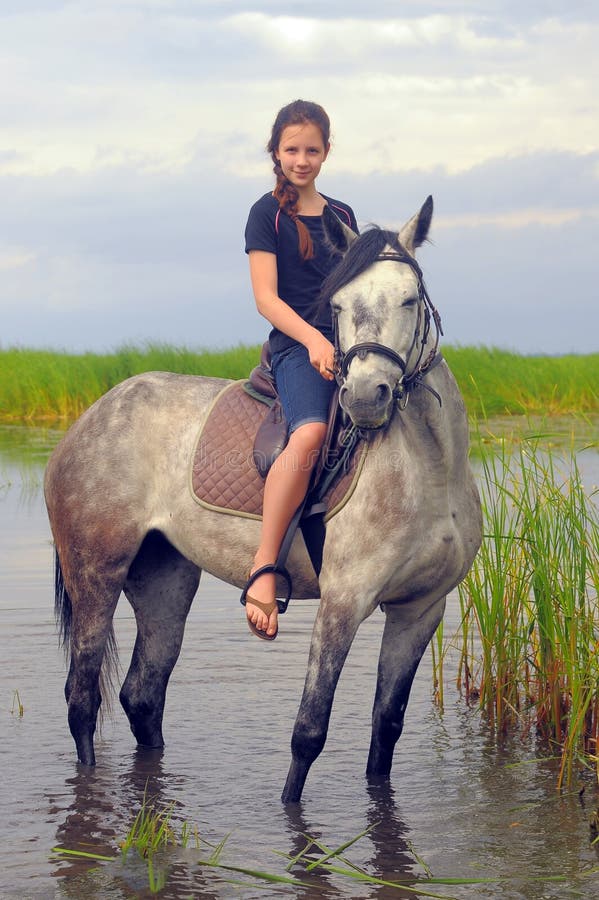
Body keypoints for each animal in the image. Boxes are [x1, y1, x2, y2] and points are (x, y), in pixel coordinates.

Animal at [43, 195, 482, 800]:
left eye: (409, 298)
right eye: (337, 304)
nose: (365, 397)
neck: (430, 469)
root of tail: (91, 418)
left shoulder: (420, 609)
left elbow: (385, 731)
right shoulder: (344, 603)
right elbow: (309, 732)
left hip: (164, 578)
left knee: (142, 694)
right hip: (95, 574)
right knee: (82, 699)